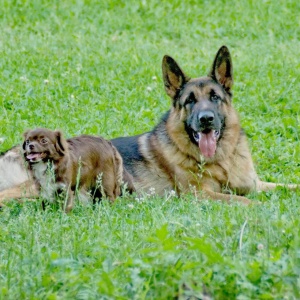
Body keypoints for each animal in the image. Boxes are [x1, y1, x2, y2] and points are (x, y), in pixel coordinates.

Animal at [112, 45, 298, 204]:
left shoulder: (254, 184)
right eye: (190, 100)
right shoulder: (200, 194)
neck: (221, 161)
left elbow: (289, 186)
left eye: (214, 97)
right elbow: (245, 200)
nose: (206, 119)